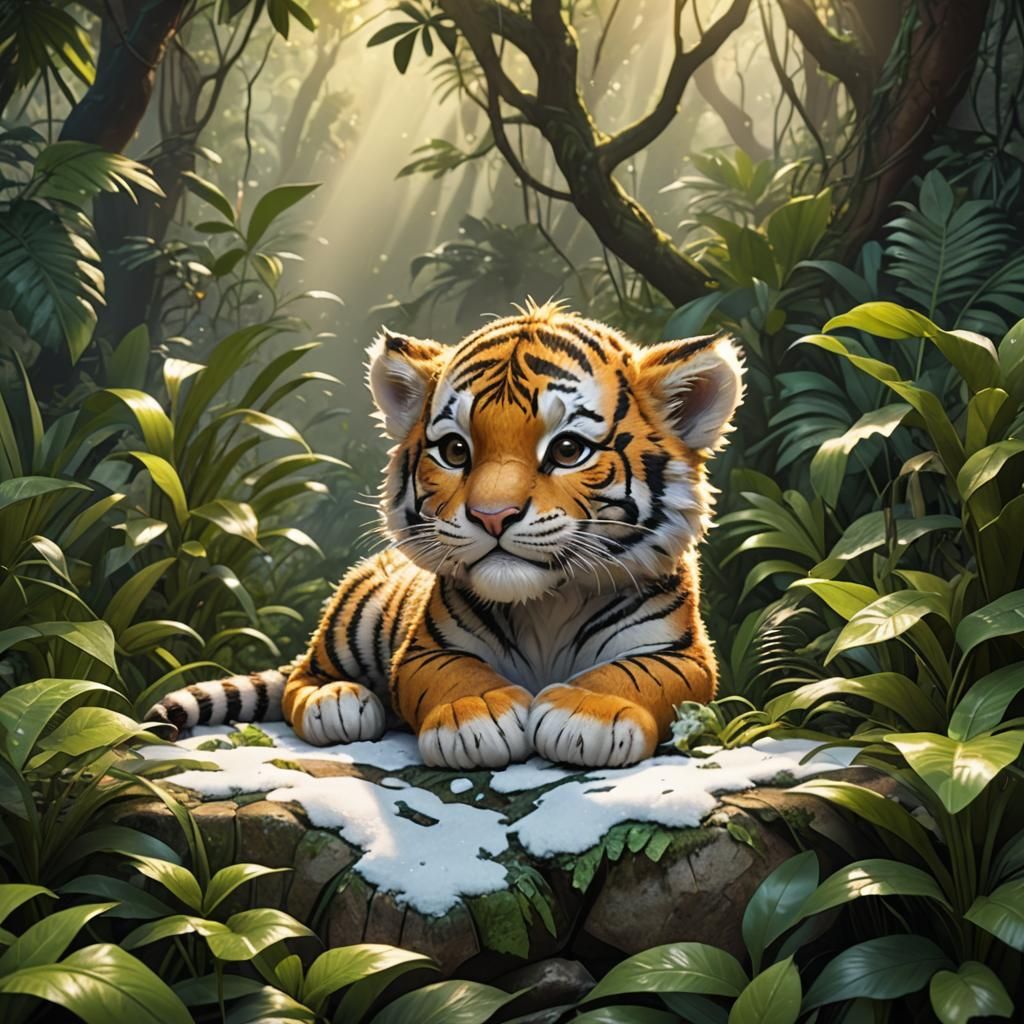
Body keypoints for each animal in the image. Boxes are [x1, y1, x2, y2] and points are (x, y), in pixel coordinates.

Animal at [146, 302, 744, 769]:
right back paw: (337, 702)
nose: (492, 515)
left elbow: (634, 675)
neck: (544, 605)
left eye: (568, 449)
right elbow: (456, 674)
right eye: (456, 451)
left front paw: (583, 716)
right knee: (304, 675)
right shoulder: (425, 648)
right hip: (349, 623)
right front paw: (475, 720)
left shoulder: (682, 653)